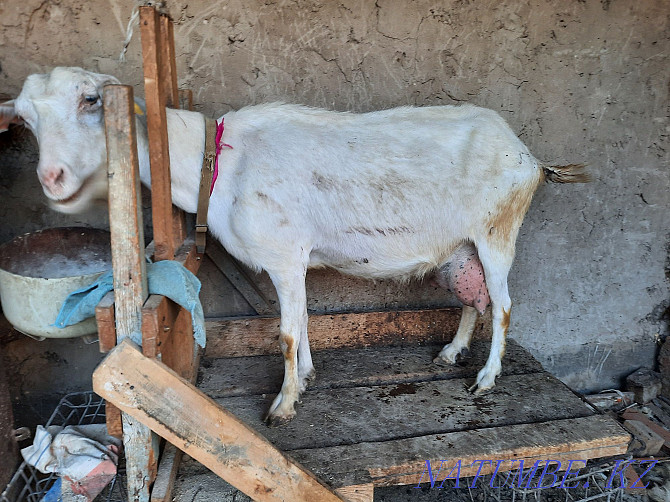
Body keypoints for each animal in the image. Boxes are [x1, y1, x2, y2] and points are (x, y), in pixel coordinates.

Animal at [0, 68, 588, 426]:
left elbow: (283, 331)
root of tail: (530, 157)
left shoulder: (282, 254)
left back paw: (486, 379)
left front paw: (282, 404)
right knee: (474, 298)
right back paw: (451, 352)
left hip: (497, 231)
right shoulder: (296, 260)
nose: (52, 178)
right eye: (24, 117)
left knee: (504, 305)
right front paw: (304, 378)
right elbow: (301, 320)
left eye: (92, 100)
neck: (217, 163)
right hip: (459, 248)